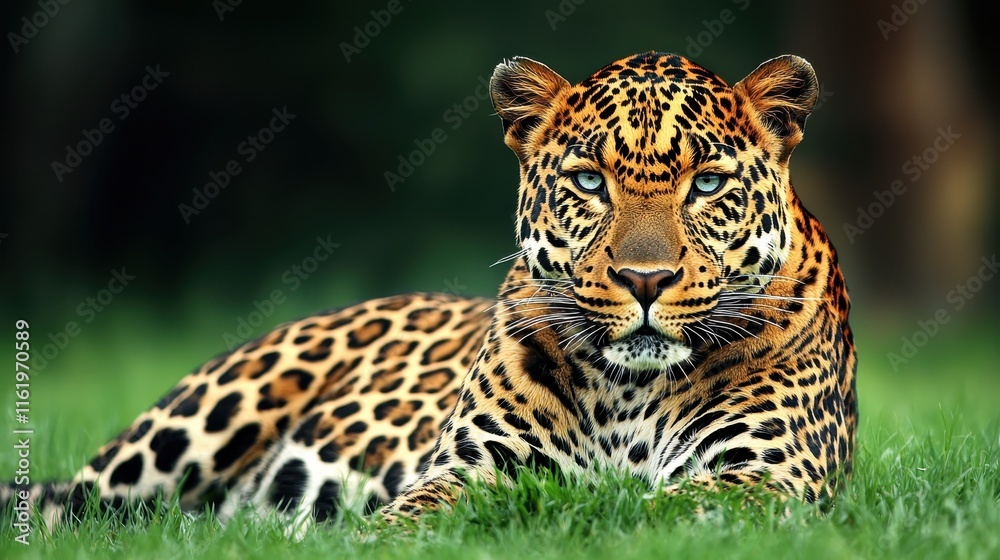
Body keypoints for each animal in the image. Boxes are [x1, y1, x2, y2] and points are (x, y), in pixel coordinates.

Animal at [3, 51, 856, 533]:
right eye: (589, 181)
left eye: (707, 183)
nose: (644, 280)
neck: (629, 391)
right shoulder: (470, 468)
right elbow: (410, 513)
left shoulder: (767, 475)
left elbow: (659, 506)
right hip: (195, 424)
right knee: (67, 507)